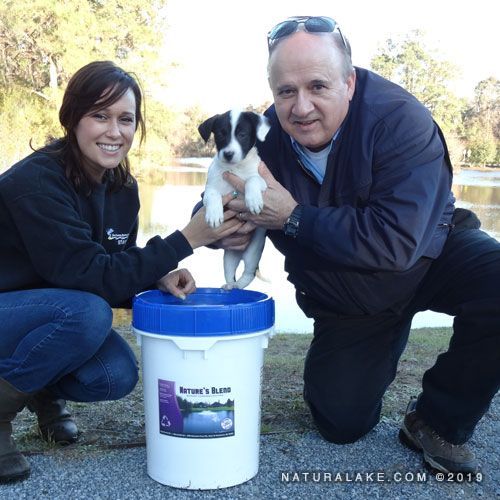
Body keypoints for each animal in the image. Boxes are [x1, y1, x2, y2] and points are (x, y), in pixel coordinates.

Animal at [198, 109, 270, 290]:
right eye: (221, 134)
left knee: (248, 274)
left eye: (242, 134)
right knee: (231, 275)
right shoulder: (209, 190)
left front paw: (253, 201)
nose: (228, 154)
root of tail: (240, 254)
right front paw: (214, 215)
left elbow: (252, 180)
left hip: (253, 253)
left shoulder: (264, 182)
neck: (235, 168)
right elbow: (214, 195)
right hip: (228, 258)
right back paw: (230, 287)